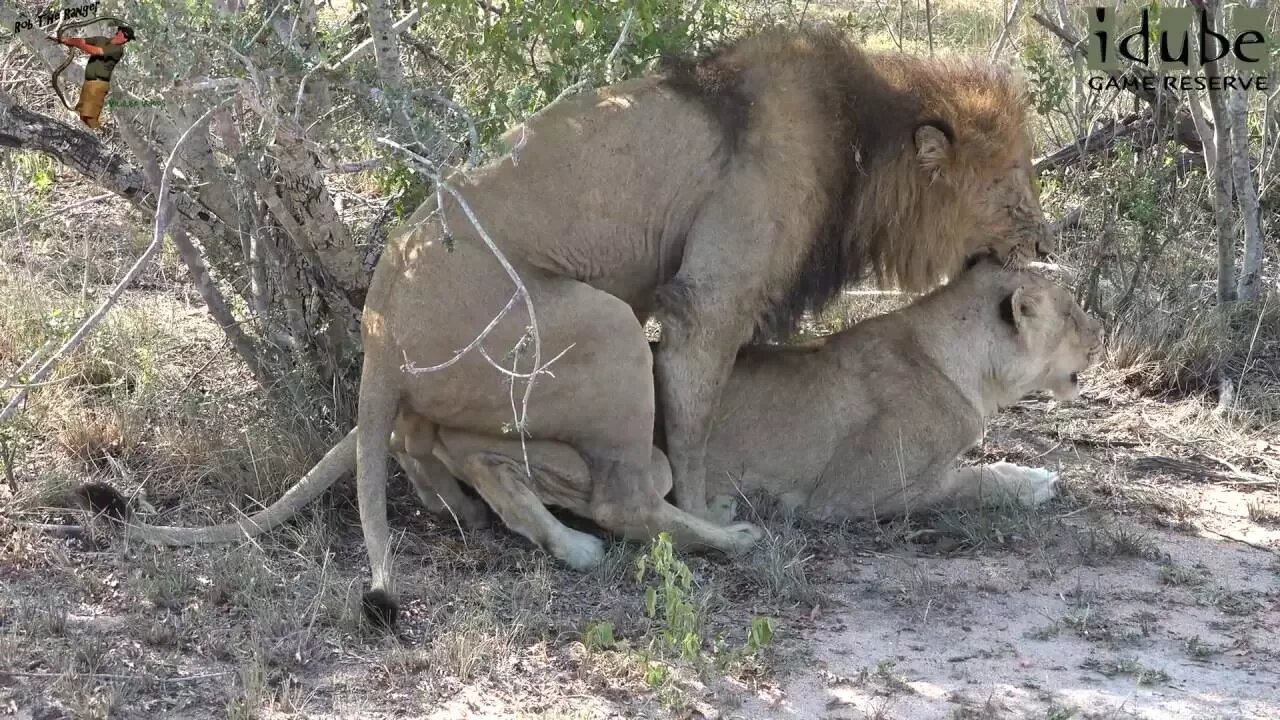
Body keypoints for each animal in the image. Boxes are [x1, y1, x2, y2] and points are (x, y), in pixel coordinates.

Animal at [102, 25, 1049, 625]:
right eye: (1015, 188)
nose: (1046, 245)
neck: (865, 140)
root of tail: (377, 328)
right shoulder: (708, 298)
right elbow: (698, 427)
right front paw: (718, 505)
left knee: (425, 442)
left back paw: (475, 513)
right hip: (604, 325)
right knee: (627, 497)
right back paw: (720, 541)